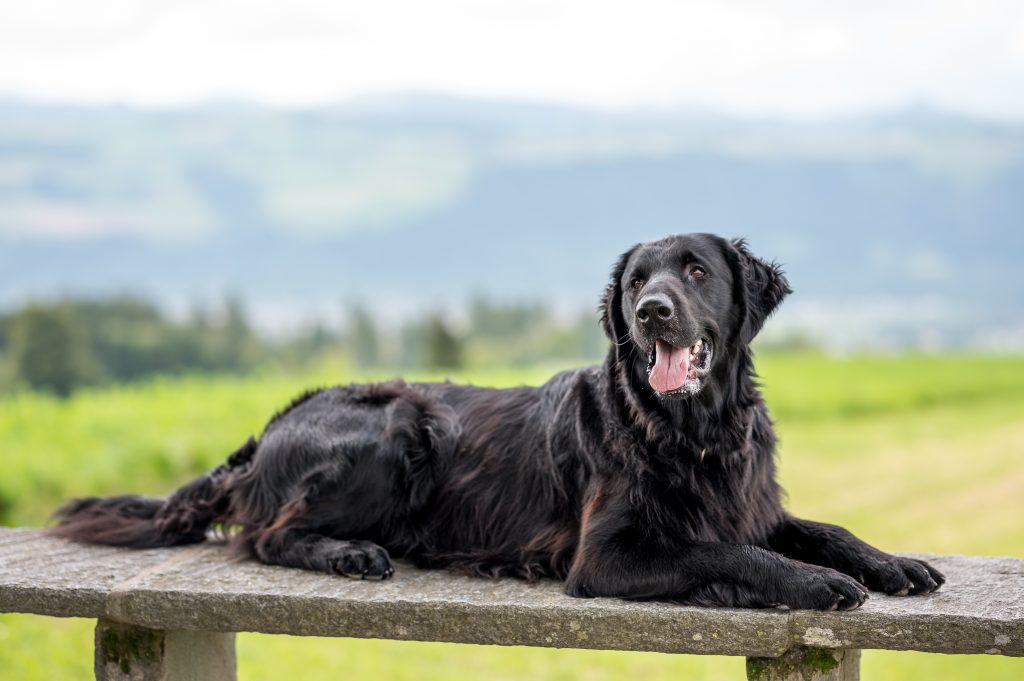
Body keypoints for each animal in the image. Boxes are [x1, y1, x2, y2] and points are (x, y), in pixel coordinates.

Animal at [49, 235, 942, 610]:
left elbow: (818, 527)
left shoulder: (750, 500)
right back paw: (349, 553)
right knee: (266, 534)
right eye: (637, 281)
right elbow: (722, 551)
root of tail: (271, 426)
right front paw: (811, 584)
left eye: (695, 270)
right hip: (396, 426)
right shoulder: (604, 555)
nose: (650, 311)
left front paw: (889, 563)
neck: (689, 427)